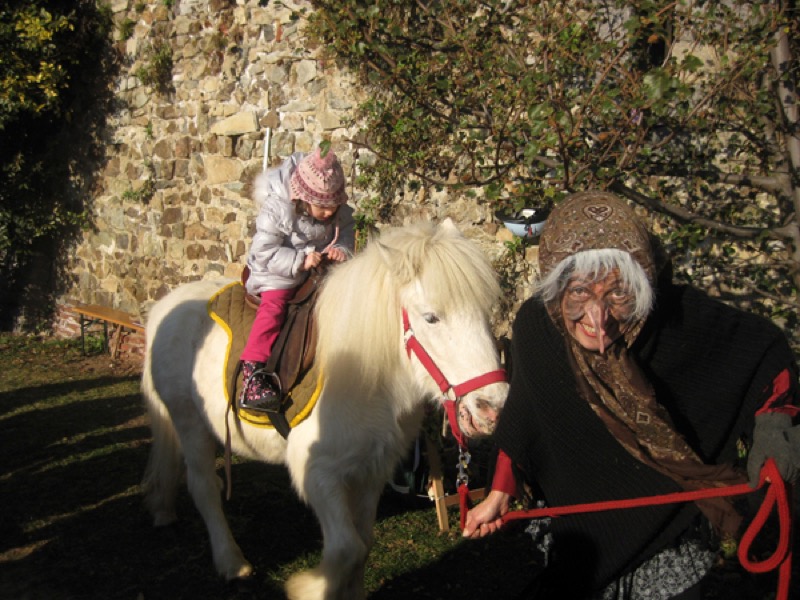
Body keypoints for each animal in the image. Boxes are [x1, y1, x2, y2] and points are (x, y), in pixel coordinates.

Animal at [140, 218, 509, 600]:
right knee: (203, 486)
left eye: (485, 312)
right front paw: (309, 587)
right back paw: (231, 561)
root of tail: (163, 308)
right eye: (431, 317)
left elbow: (364, 543)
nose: (492, 409)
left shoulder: (371, 471)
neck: (370, 376)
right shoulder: (317, 473)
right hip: (189, 422)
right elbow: (347, 549)